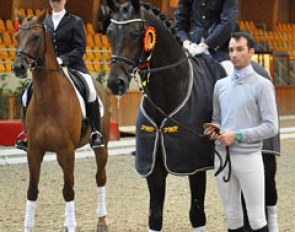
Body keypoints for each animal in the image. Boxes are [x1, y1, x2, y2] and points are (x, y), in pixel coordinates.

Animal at [11, 10, 110, 231]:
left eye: (36, 37)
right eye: (17, 37)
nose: (18, 67)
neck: (48, 100)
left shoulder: (67, 151)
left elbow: (68, 191)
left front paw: (72, 225)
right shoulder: (34, 151)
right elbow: (32, 191)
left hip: (101, 146)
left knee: (100, 178)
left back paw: (101, 221)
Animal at [106, 0, 227, 231]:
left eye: (136, 33)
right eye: (109, 33)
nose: (115, 83)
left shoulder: (195, 167)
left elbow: (197, 214)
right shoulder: (152, 168)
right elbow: (155, 217)